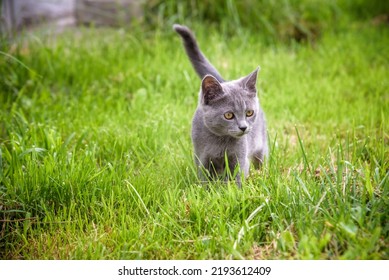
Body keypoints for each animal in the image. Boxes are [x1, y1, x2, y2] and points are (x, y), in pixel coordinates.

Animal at [173, 24, 266, 186]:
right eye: (228, 115)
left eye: (249, 113)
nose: (243, 127)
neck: (221, 142)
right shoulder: (202, 158)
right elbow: (204, 179)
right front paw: (205, 190)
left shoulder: (239, 158)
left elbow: (238, 177)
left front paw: (235, 190)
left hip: (261, 145)